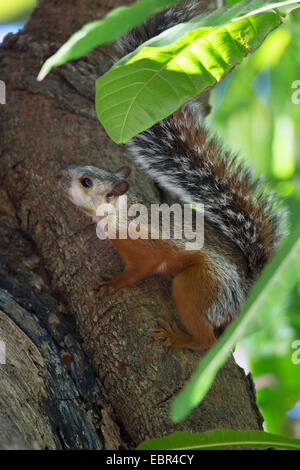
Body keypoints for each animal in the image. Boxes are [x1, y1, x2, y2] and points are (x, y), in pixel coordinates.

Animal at [59, 0, 286, 348]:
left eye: (87, 182)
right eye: (85, 168)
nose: (61, 174)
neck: (120, 214)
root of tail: (244, 295)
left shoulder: (146, 247)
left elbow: (140, 270)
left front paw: (115, 283)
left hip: (198, 286)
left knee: (207, 338)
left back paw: (179, 338)